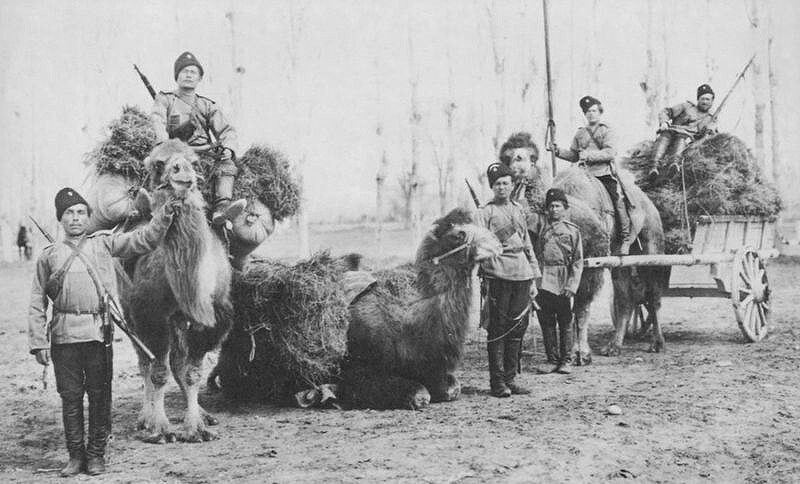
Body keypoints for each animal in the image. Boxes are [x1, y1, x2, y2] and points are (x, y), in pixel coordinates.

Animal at [119, 140, 233, 442]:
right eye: (159, 164)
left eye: (195, 161)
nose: (182, 173)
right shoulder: (151, 315)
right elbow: (158, 372)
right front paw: (160, 428)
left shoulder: (212, 318)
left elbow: (191, 372)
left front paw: (196, 428)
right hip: (131, 313)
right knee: (145, 364)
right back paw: (145, 418)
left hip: (178, 320)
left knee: (178, 363)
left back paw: (204, 415)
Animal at [340, 208, 504, 408]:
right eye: (459, 235)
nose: (497, 243)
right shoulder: (354, 370)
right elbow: (418, 392)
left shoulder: (430, 365)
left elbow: (452, 388)